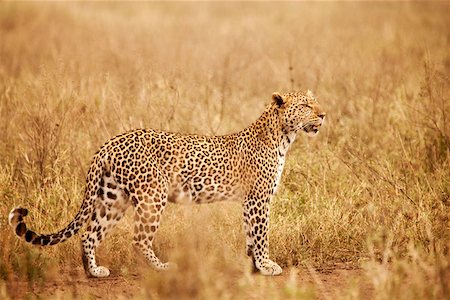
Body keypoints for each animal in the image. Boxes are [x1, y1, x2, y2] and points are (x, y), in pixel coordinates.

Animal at [8, 90, 326, 278]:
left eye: (315, 102)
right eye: (306, 105)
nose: (323, 114)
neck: (283, 137)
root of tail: (109, 143)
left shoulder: (250, 201)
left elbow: (251, 234)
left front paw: (254, 266)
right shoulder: (258, 198)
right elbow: (261, 235)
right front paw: (266, 264)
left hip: (113, 199)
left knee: (89, 234)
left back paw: (93, 271)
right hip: (152, 196)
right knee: (138, 239)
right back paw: (162, 267)